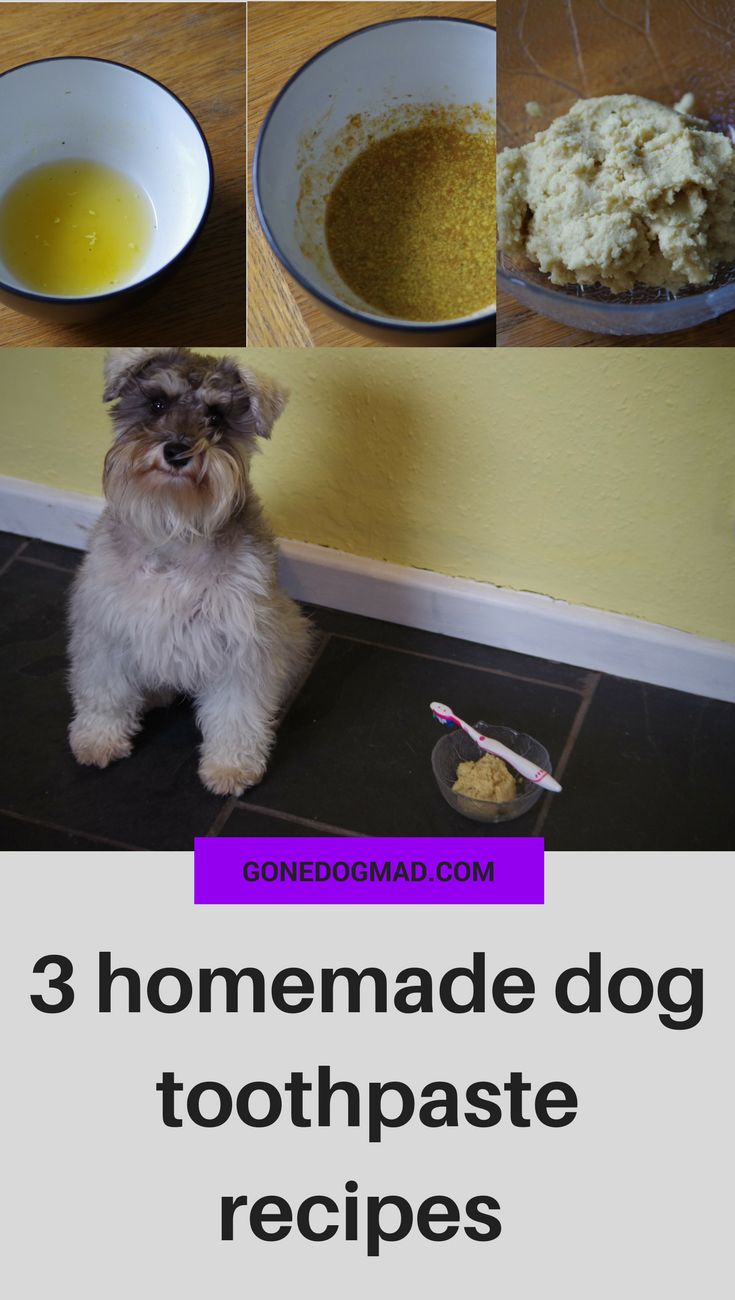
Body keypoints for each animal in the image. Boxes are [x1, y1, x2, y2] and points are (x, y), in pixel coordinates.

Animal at [70, 348, 316, 790]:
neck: (175, 527)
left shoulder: (242, 644)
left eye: (217, 417)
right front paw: (97, 740)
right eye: (157, 404)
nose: (178, 452)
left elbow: (237, 713)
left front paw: (230, 766)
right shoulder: (104, 628)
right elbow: (104, 693)